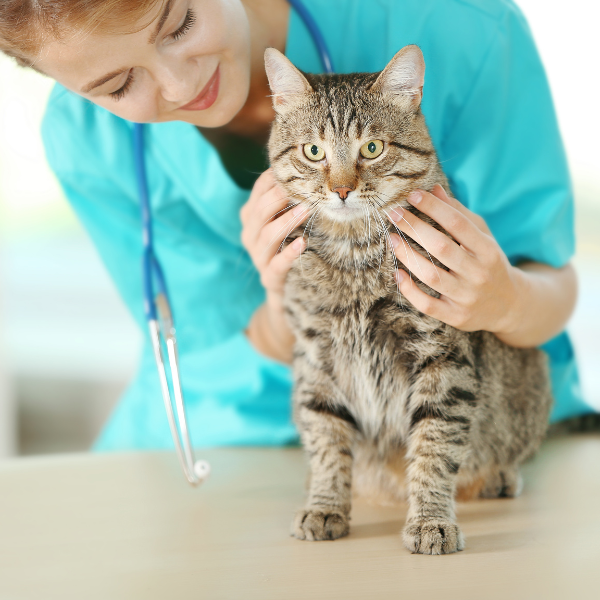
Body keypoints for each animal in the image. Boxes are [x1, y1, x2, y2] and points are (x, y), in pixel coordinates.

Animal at [264, 44, 552, 556]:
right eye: (313, 151)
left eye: (372, 148)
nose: (341, 189)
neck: (353, 255)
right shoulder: (316, 359)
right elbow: (326, 439)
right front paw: (325, 505)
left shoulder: (441, 357)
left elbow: (433, 447)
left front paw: (430, 519)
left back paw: (497, 476)